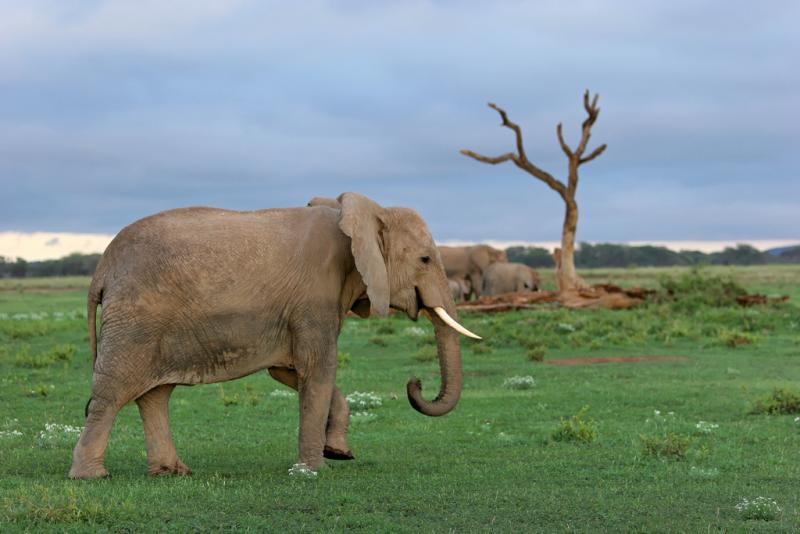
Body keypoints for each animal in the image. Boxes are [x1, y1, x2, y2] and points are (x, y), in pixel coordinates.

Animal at [69, 193, 478, 482]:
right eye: (425, 260)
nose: (415, 383)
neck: (357, 211)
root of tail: (102, 268)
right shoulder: (314, 298)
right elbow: (318, 368)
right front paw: (313, 471)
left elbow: (291, 372)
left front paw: (339, 453)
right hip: (135, 320)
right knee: (113, 392)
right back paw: (91, 476)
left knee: (154, 395)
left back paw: (173, 472)